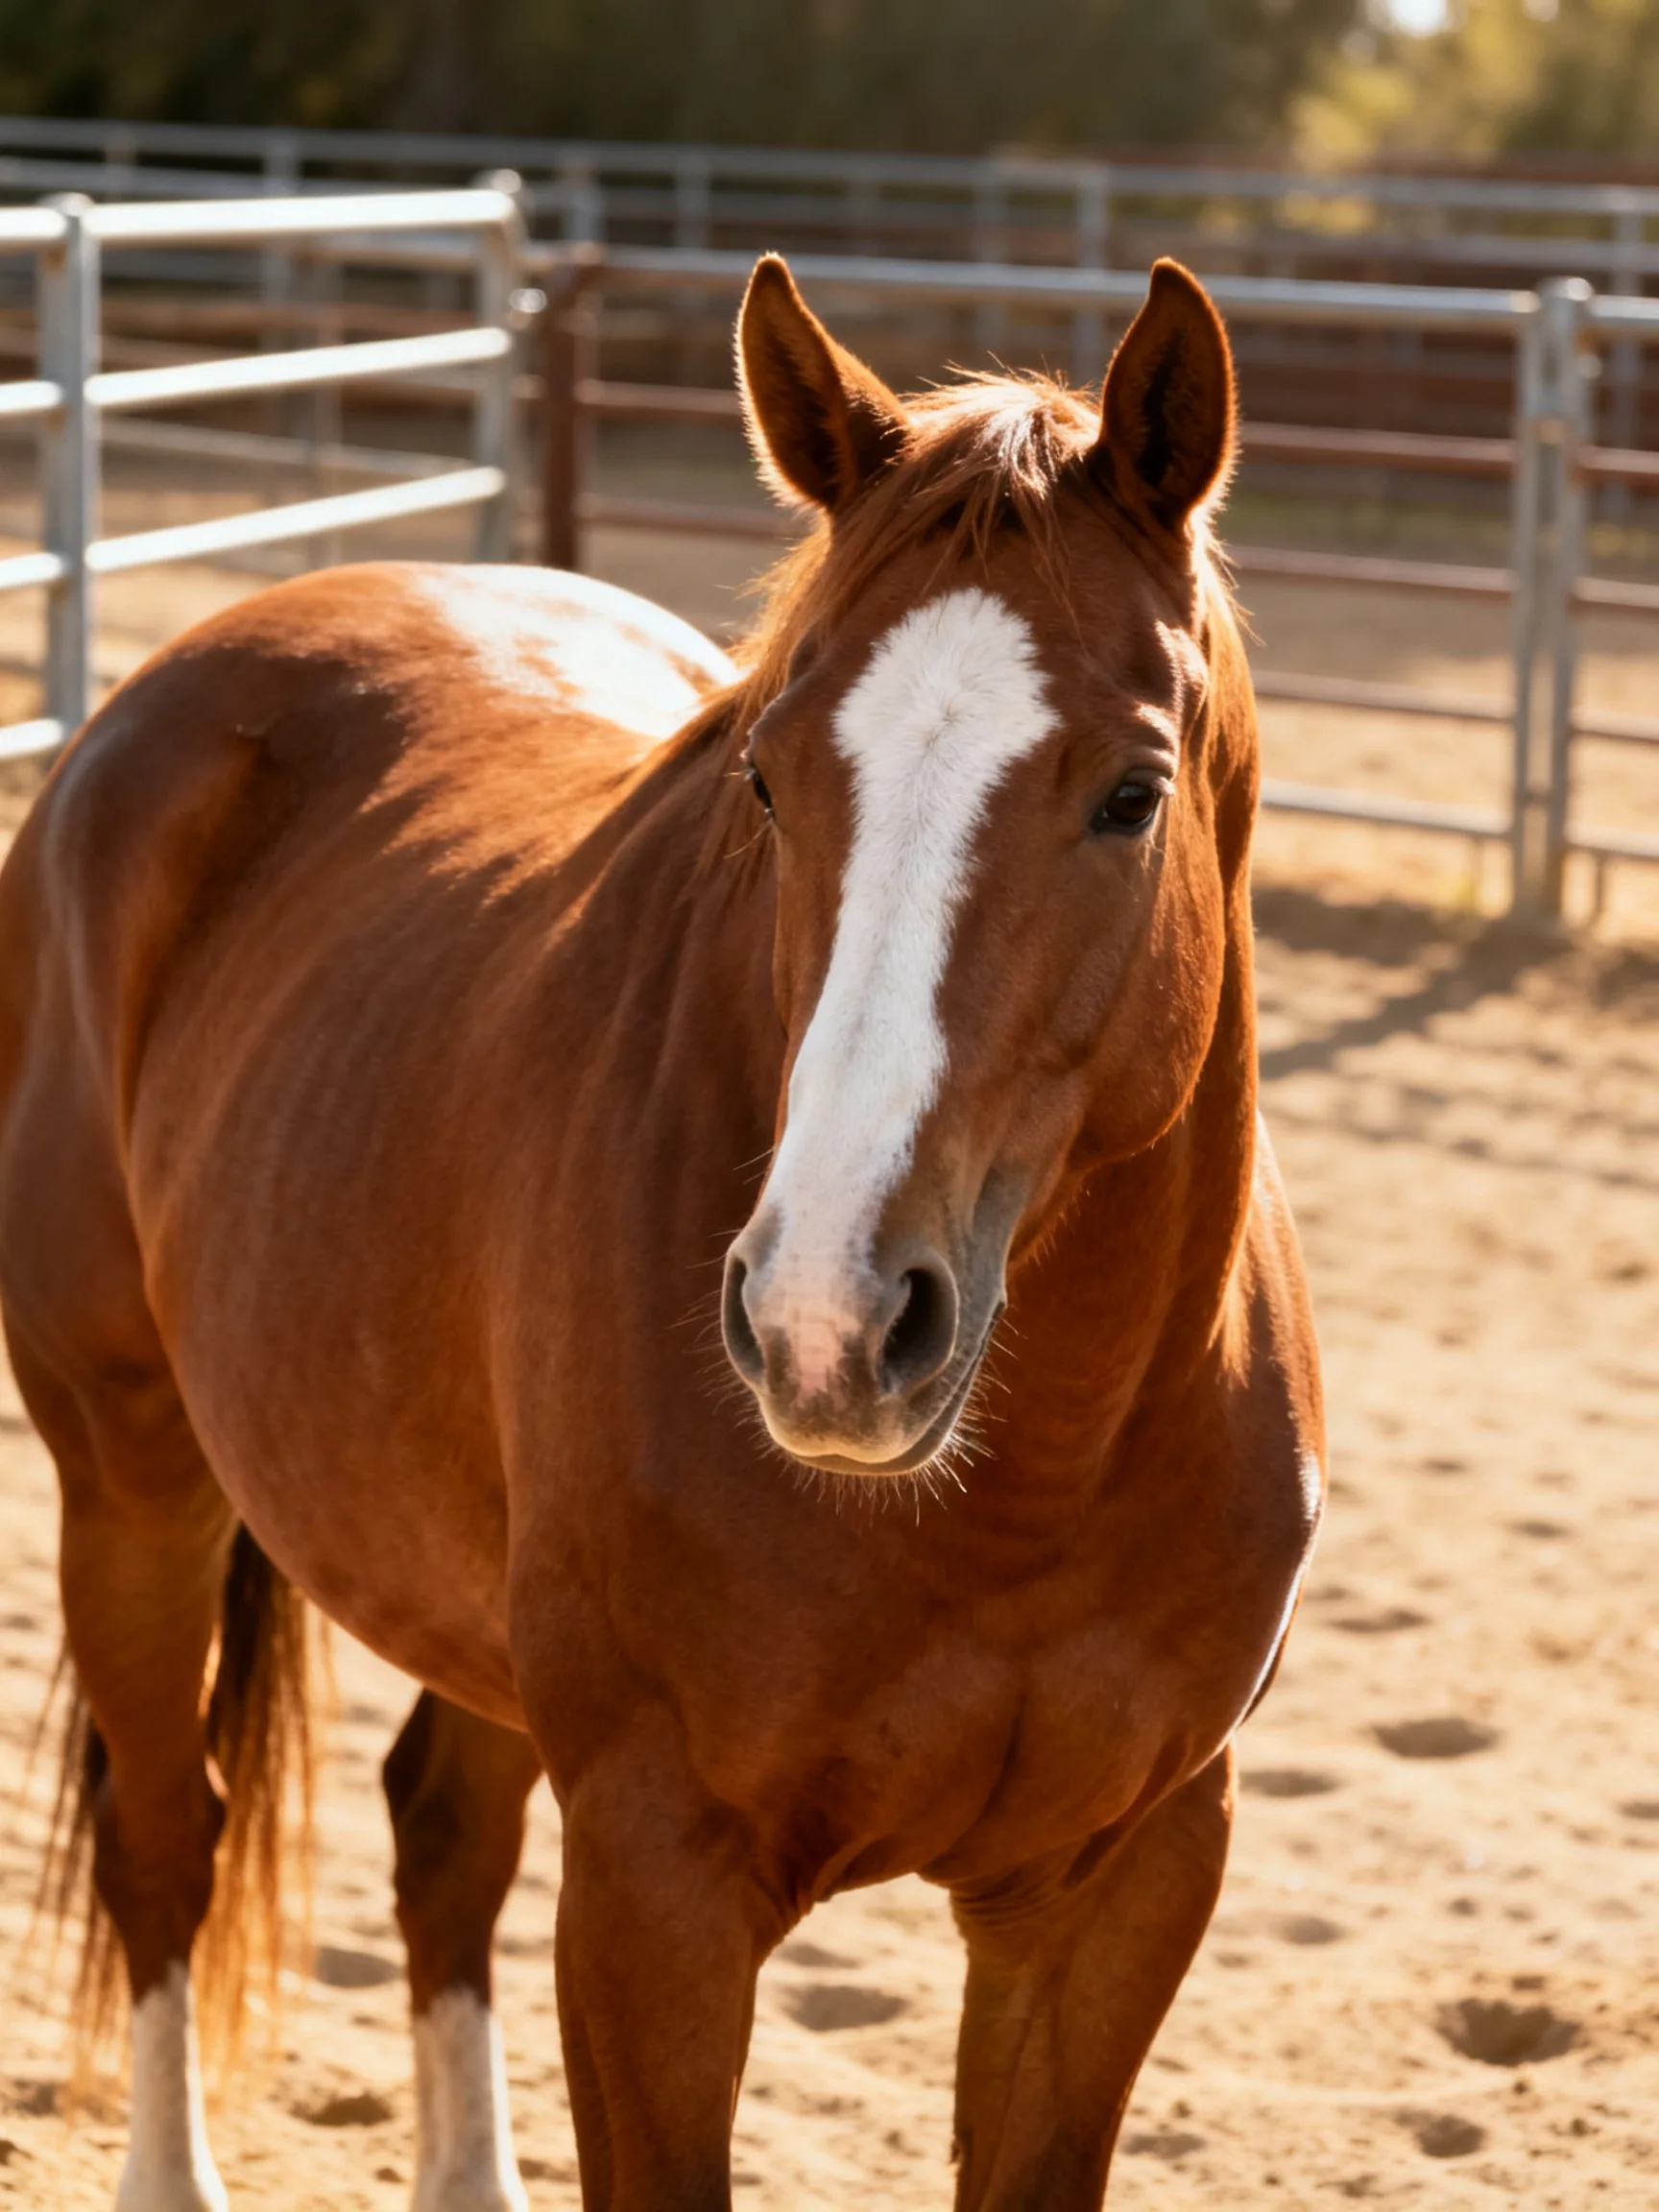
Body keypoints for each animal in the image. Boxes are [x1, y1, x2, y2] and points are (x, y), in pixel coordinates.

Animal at [0, 252, 1323, 2210]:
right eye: (766, 776)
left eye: (1130, 793)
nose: (823, 1326)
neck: (1020, 1496)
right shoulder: (655, 1891)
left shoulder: (1120, 1886)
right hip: (131, 1479)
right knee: (169, 1836)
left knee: (438, 1841)